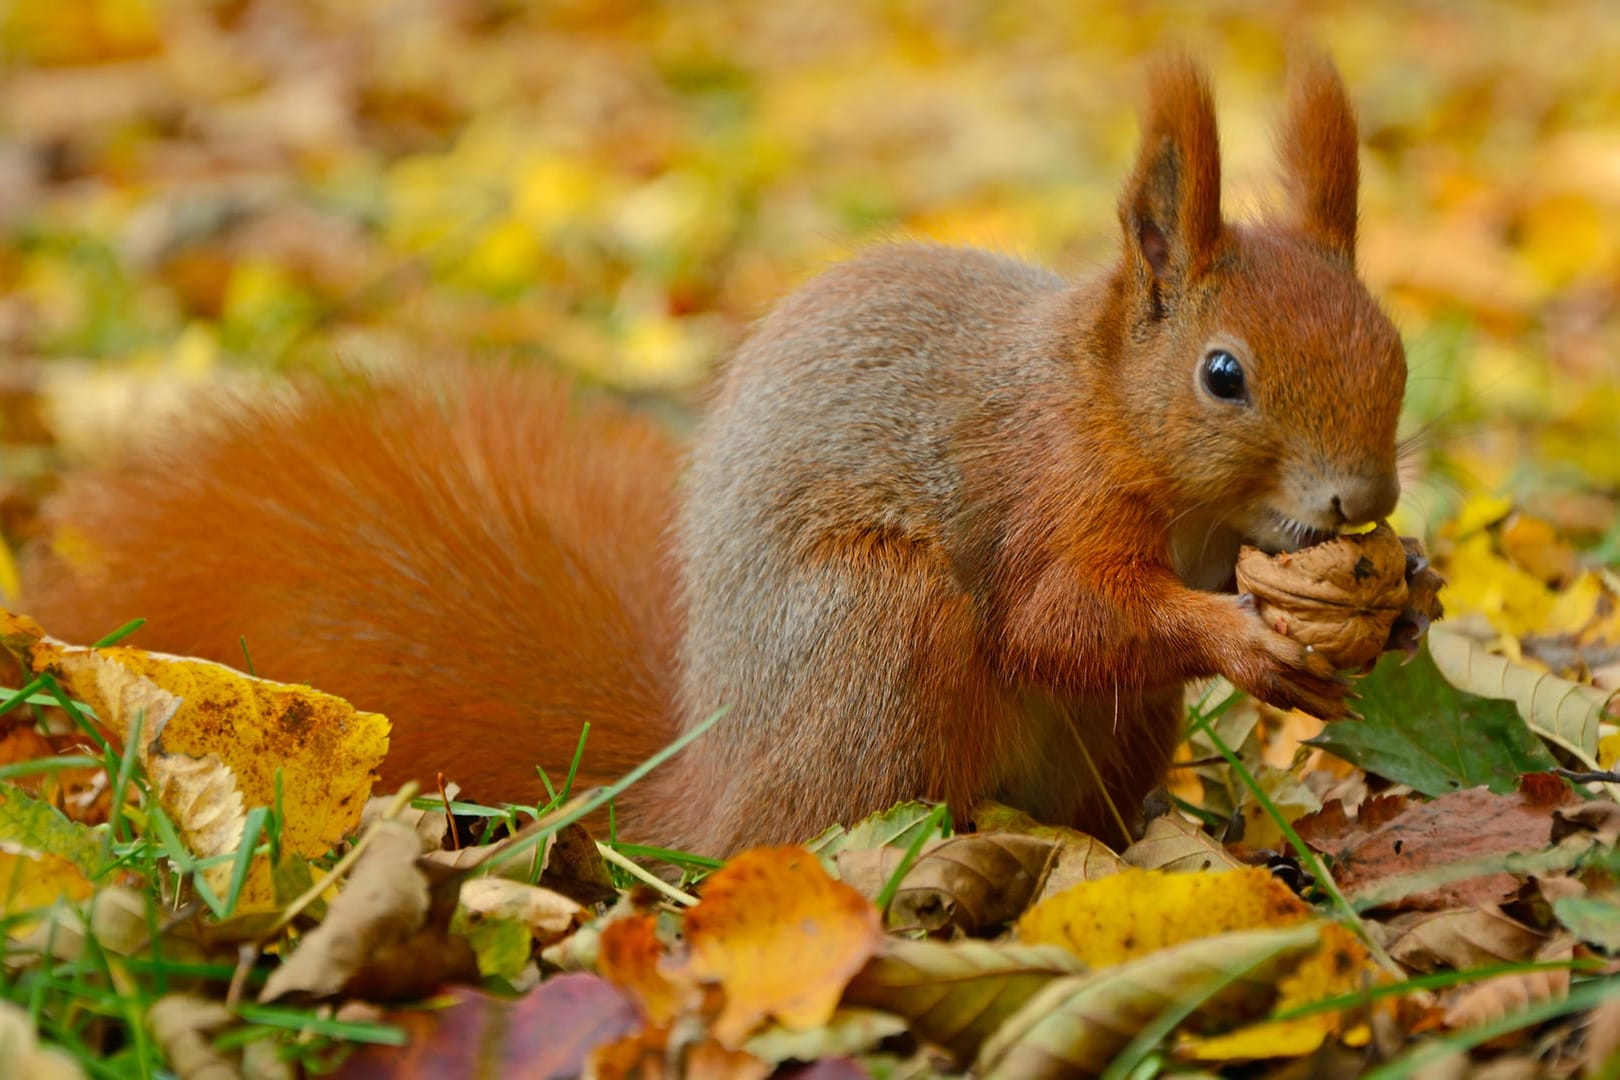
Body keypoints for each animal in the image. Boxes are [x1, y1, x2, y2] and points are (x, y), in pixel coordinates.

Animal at [15, 59, 1406, 854]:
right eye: (1222, 375)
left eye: (1392, 346)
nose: (1364, 497)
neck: (1106, 405)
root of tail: (708, 788)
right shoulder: (1040, 490)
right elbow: (1058, 619)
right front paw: (1245, 638)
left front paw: (1401, 600)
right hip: (877, 627)